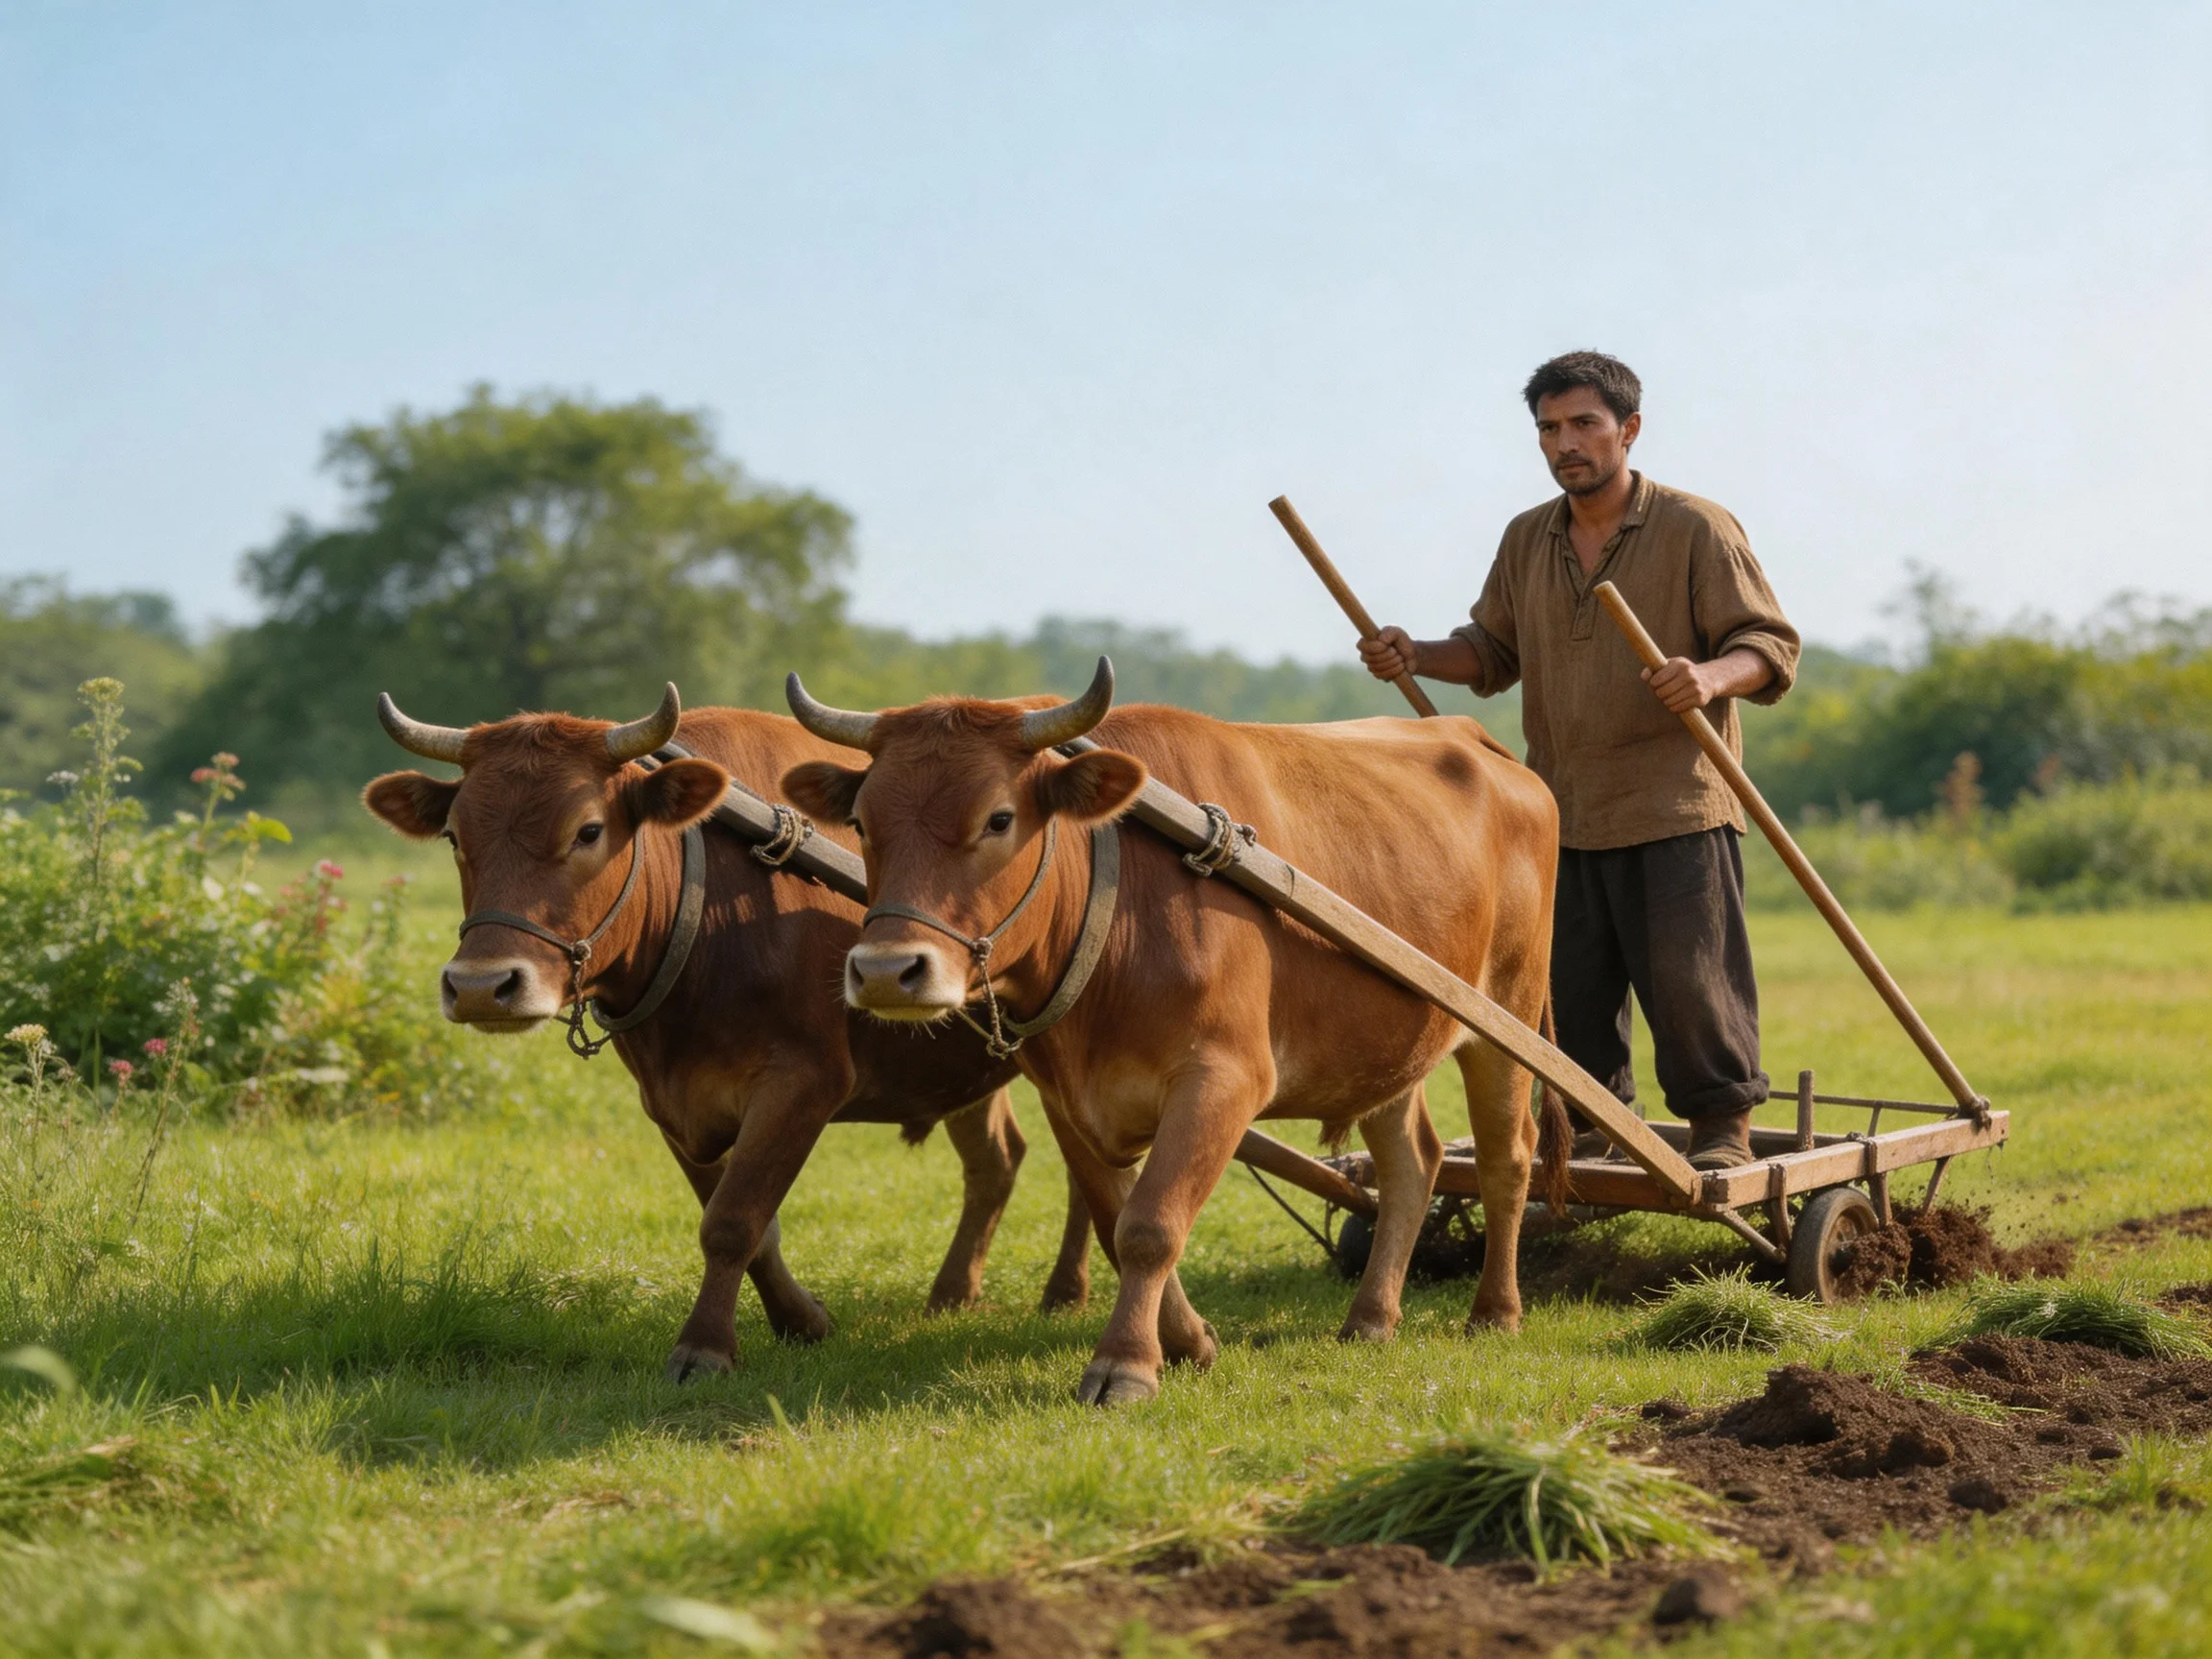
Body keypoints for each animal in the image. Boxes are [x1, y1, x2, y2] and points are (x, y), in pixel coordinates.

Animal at [361, 686, 1095, 1380]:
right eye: (455, 836)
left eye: (588, 830)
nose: (482, 986)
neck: (714, 903)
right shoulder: (671, 1100)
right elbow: (749, 1224)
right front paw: (802, 1320)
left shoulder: (805, 1080)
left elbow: (733, 1221)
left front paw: (705, 1346)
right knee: (998, 1162)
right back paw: (952, 1293)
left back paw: (1064, 1291)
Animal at [780, 660, 1567, 1405]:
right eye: (863, 824)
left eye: (998, 819)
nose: (888, 971)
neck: (1122, 903)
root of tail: (1475, 739)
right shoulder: (1068, 1098)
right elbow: (1115, 1219)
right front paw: (1188, 1341)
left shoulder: (1223, 1079)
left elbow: (1151, 1225)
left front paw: (1125, 1364)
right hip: (1387, 1045)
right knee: (1413, 1164)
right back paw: (1371, 1317)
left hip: (1506, 1018)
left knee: (1505, 1159)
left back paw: (1495, 1310)